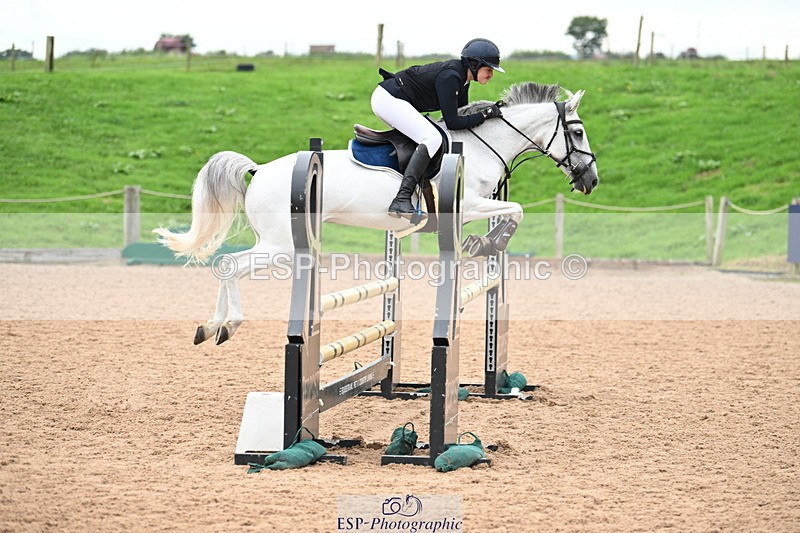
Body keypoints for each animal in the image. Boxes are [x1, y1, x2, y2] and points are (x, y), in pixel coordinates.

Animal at [154, 82, 599, 345]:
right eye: (577, 132)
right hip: (281, 246)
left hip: (280, 244)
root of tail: (260, 170)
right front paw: (487, 242)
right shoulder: (469, 204)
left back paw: (209, 327)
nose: (591, 180)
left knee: (224, 266)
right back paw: (227, 325)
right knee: (229, 265)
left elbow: (512, 211)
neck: (480, 144)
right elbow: (516, 210)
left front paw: (483, 241)